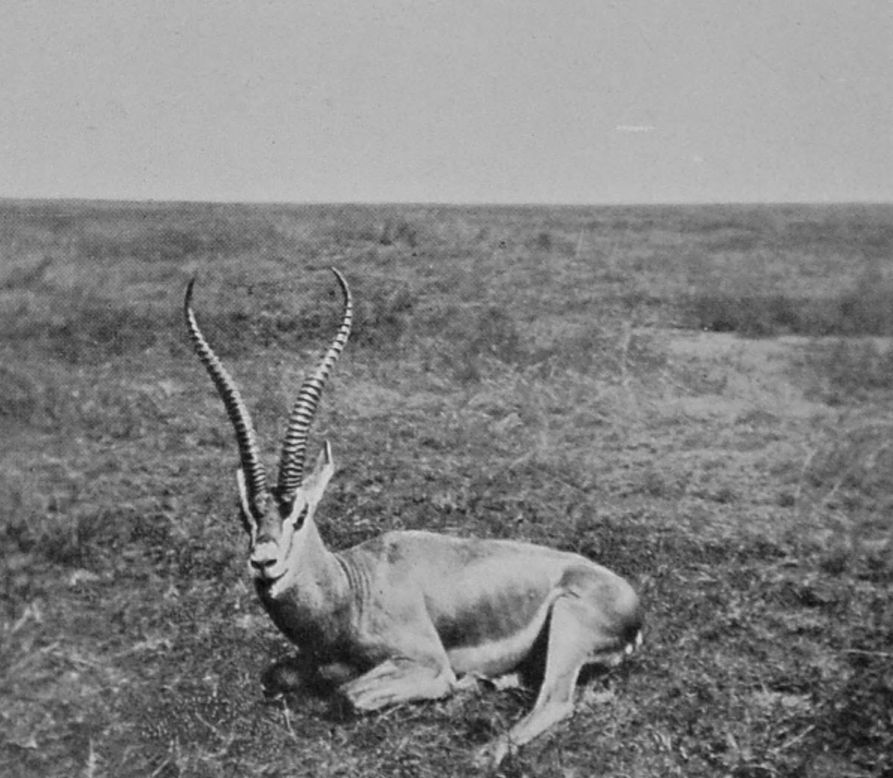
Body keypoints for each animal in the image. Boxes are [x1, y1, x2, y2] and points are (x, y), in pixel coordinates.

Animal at [184, 268, 643, 767]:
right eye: (245, 514)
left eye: (300, 513)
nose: (264, 563)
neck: (351, 590)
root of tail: (629, 597)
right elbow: (276, 677)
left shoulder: (426, 662)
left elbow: (345, 695)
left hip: (567, 626)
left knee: (555, 701)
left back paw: (482, 748)